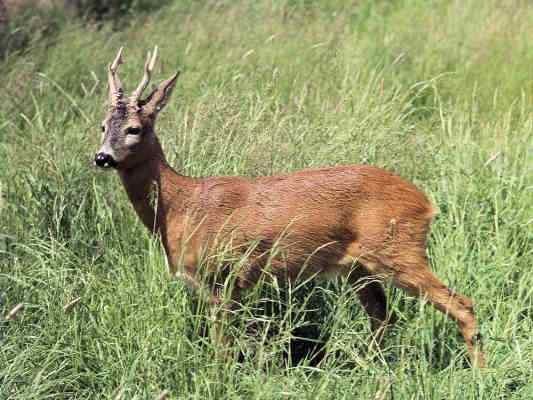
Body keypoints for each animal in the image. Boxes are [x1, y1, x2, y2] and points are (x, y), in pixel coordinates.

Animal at [93, 47, 484, 366]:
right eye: (101, 125)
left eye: (134, 128)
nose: (102, 157)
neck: (180, 207)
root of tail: (426, 203)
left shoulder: (223, 275)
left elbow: (222, 346)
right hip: (358, 267)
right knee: (383, 315)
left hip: (399, 250)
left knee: (462, 304)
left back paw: (479, 373)